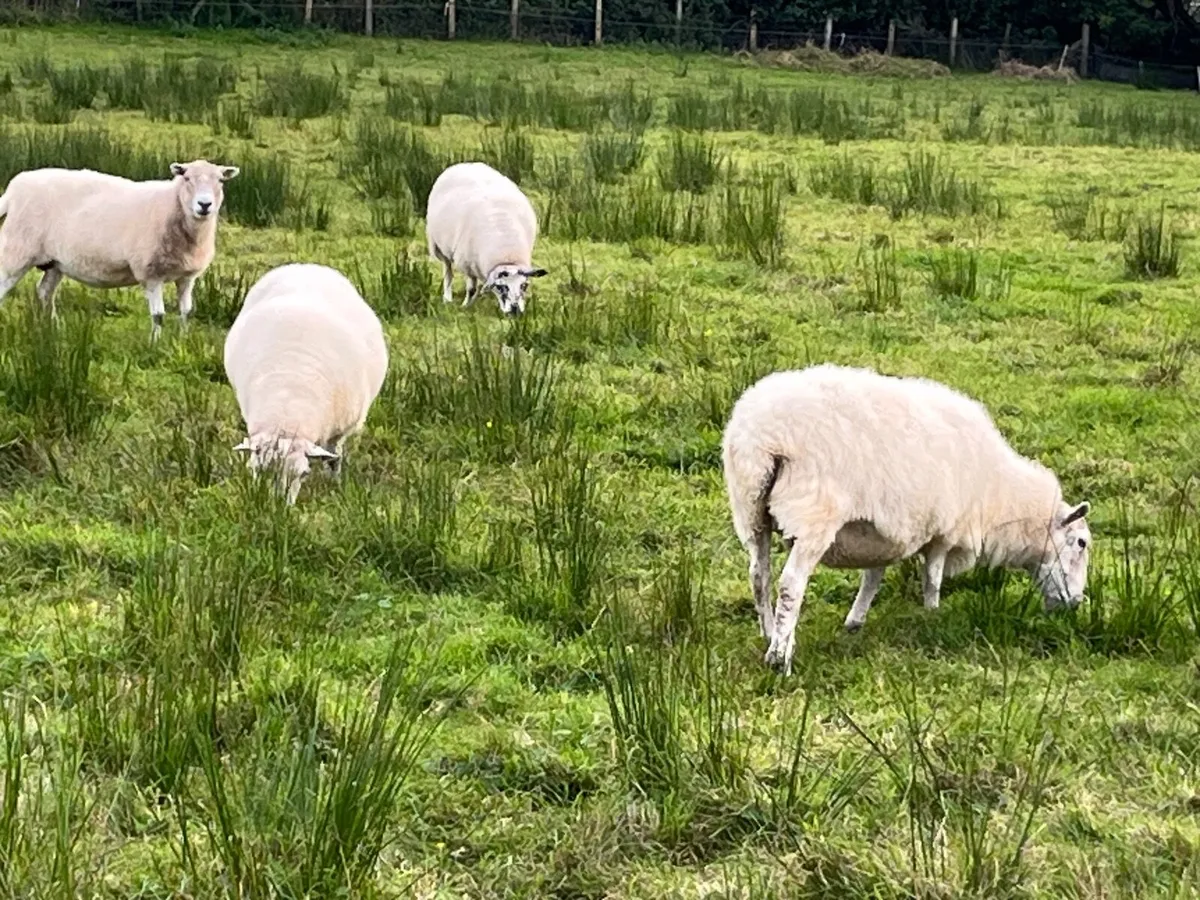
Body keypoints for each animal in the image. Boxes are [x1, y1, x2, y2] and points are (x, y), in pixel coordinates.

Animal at [0, 159, 239, 340]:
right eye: (187, 178)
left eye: (220, 180)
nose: (204, 205)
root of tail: (14, 188)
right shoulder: (150, 273)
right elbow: (158, 315)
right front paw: (155, 343)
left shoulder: (187, 276)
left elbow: (186, 311)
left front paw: (183, 339)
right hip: (17, 249)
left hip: (56, 262)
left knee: (44, 292)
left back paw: (54, 328)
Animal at [223, 263, 389, 505]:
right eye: (256, 472)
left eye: (303, 474)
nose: (275, 509)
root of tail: (304, 265)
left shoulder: (340, 430)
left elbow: (333, 458)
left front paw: (334, 484)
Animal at [425, 161, 547, 316]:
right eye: (501, 287)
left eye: (524, 285)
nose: (515, 312)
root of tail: (465, 164)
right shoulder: (467, 264)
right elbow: (471, 289)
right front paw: (466, 305)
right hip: (438, 245)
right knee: (447, 271)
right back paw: (447, 298)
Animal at [721, 364, 1092, 675]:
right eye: (1081, 543)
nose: (1075, 604)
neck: (998, 495)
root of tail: (762, 437)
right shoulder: (944, 531)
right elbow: (933, 579)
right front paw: (932, 616)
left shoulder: (881, 531)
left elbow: (872, 578)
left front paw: (855, 622)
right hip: (814, 515)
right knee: (790, 585)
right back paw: (779, 657)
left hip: (751, 510)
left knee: (759, 576)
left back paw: (769, 632)